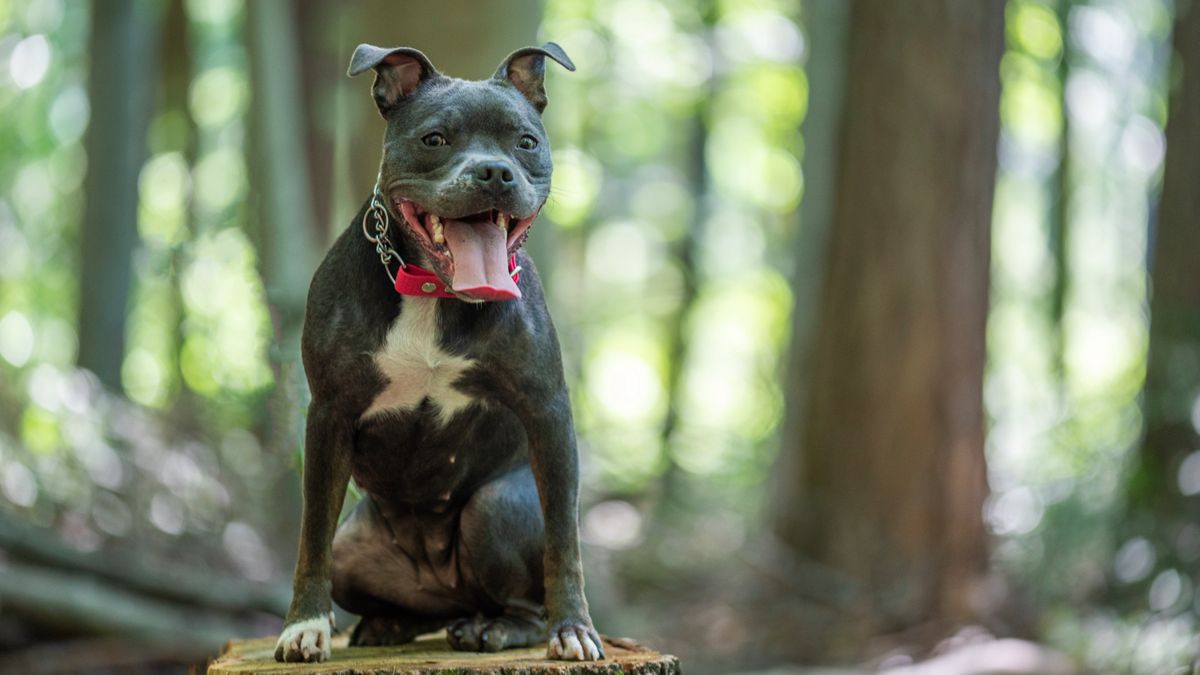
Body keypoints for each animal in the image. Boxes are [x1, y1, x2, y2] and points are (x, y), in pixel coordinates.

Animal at [274, 43, 600, 662]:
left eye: (526, 142)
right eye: (434, 139)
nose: (494, 171)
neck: (434, 292)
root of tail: (443, 586)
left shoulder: (548, 410)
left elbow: (564, 543)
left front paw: (574, 628)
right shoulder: (328, 413)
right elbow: (310, 538)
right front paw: (305, 627)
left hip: (494, 509)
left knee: (515, 600)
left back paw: (496, 629)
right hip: (358, 548)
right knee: (387, 585)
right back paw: (388, 625)